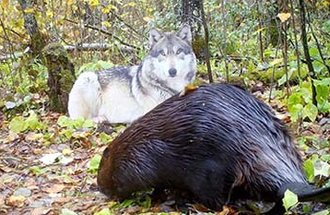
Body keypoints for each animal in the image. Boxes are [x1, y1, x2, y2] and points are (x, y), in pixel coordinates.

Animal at [67, 24, 196, 123]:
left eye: (178, 51)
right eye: (162, 53)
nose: (172, 71)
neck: (172, 88)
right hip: (88, 77)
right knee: (81, 120)